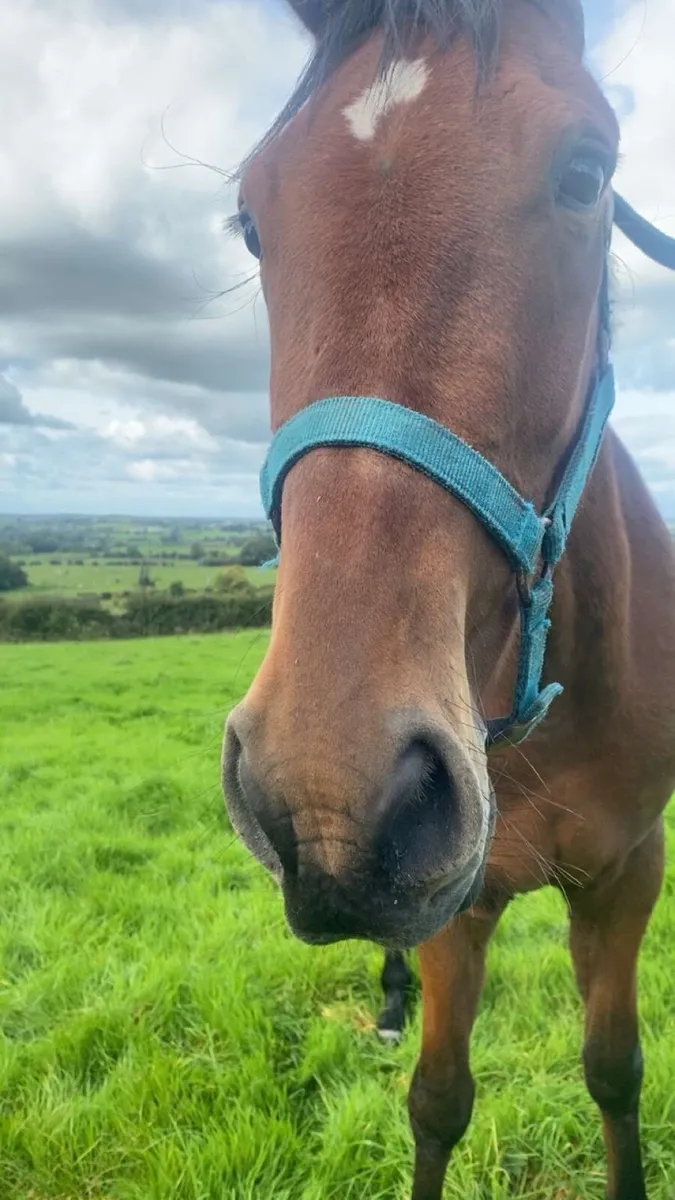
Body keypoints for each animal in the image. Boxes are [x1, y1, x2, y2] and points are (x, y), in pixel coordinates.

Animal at [222, 2, 675, 1196]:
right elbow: (436, 1100)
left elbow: (614, 1072)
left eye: (586, 173)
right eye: (252, 222)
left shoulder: (626, 875)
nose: (326, 795)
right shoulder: (452, 909)